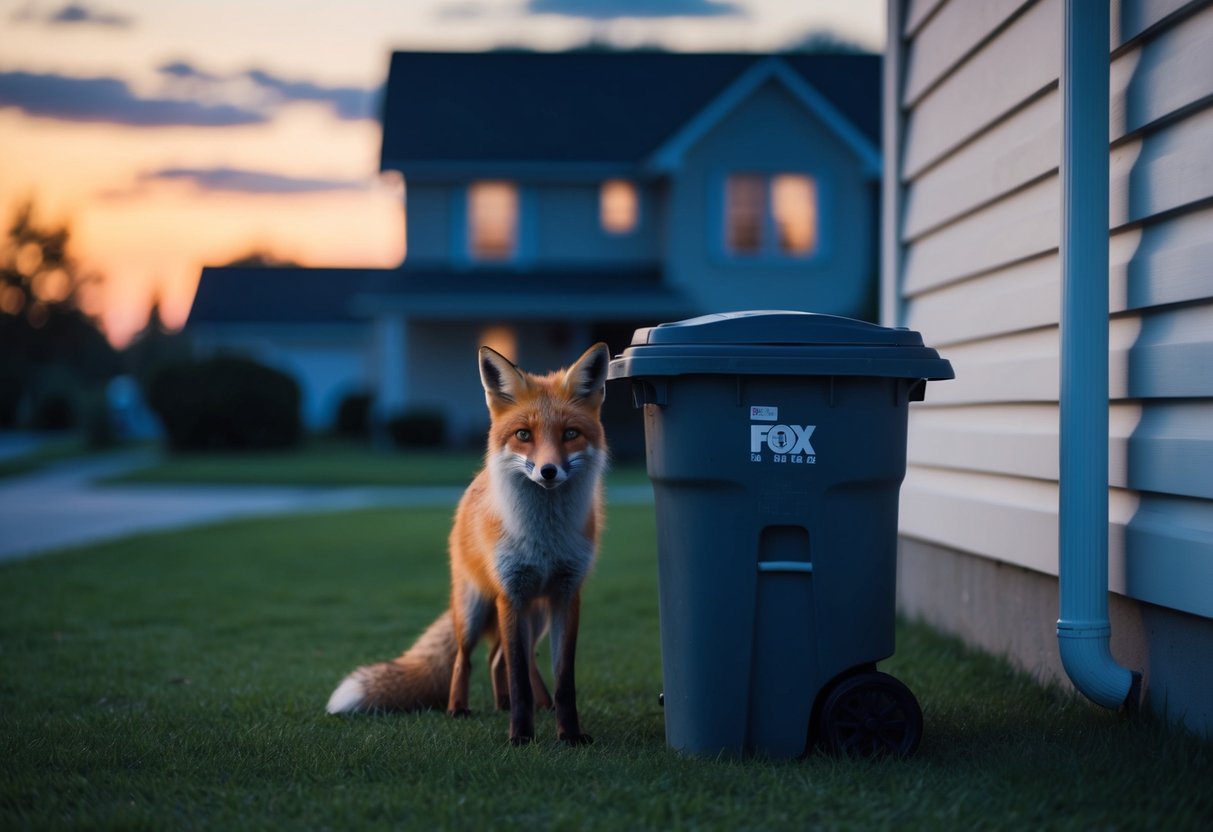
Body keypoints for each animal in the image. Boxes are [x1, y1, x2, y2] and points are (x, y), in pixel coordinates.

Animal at [326, 342, 611, 746]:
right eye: (524, 435)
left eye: (570, 433)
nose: (548, 471)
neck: (544, 536)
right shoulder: (511, 593)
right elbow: (518, 681)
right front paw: (520, 737)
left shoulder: (566, 596)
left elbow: (562, 681)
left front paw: (569, 734)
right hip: (475, 607)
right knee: (468, 659)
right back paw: (459, 708)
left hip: (536, 614)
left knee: (503, 660)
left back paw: (525, 705)